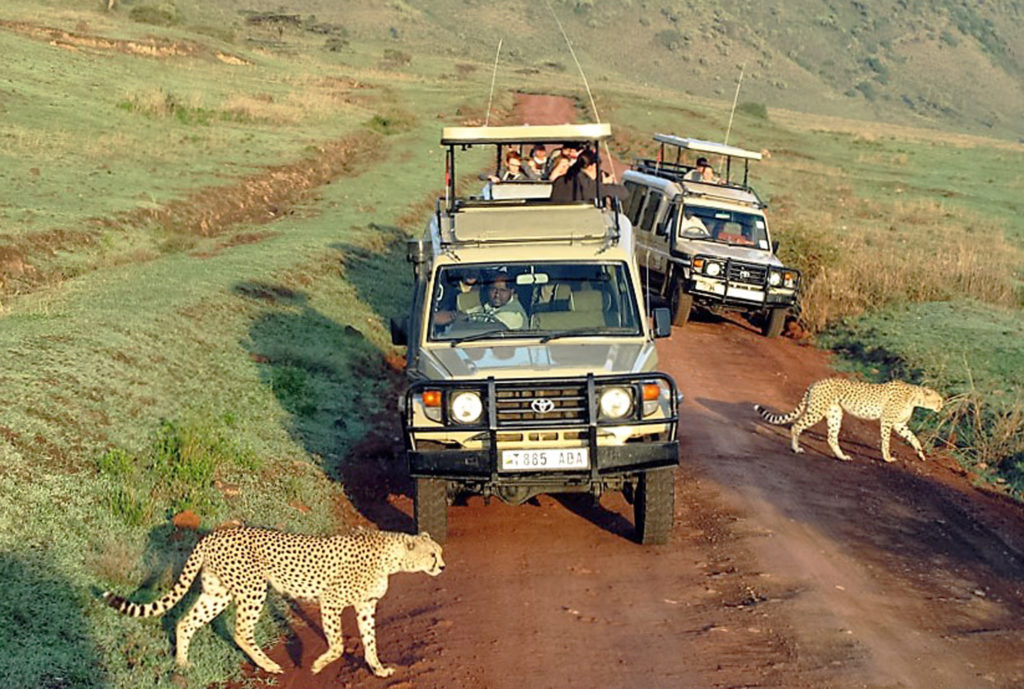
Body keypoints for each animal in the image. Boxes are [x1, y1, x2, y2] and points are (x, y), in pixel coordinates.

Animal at [101, 528, 446, 675]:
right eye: (432, 554)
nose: (442, 566)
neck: (392, 556)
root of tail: (213, 533)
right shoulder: (331, 601)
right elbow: (336, 645)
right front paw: (318, 665)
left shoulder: (366, 606)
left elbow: (371, 640)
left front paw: (378, 668)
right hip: (253, 589)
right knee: (241, 632)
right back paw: (269, 665)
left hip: (218, 592)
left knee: (186, 622)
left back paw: (183, 663)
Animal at [753, 376, 942, 462]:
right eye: (939, 400)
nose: (941, 407)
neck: (915, 398)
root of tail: (817, 382)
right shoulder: (887, 421)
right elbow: (886, 441)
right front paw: (887, 457)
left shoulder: (899, 424)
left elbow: (914, 438)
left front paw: (920, 453)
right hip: (817, 411)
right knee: (796, 425)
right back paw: (795, 448)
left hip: (835, 414)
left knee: (831, 437)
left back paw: (842, 456)